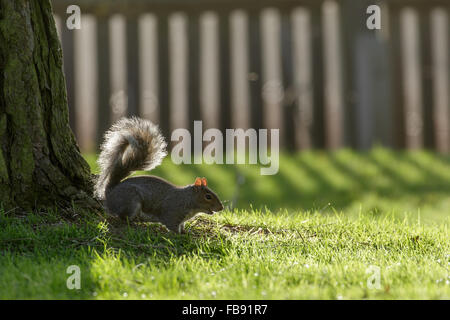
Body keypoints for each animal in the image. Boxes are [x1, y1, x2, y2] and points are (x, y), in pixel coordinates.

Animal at [94, 117, 223, 232]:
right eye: (208, 196)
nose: (221, 208)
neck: (187, 199)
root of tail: (110, 193)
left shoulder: (181, 220)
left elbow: (182, 227)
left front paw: (186, 232)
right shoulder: (172, 214)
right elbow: (172, 226)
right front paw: (179, 235)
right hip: (130, 202)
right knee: (122, 217)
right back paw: (132, 223)